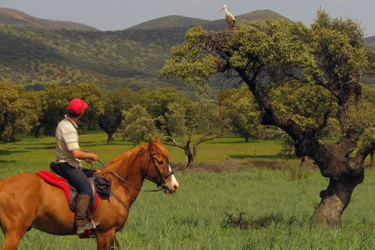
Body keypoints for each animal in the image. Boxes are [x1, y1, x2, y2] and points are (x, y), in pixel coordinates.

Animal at [0, 137, 180, 250]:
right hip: (15, 233)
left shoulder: (111, 234)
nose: (174, 185)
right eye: (160, 161)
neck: (116, 186)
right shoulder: (104, 233)